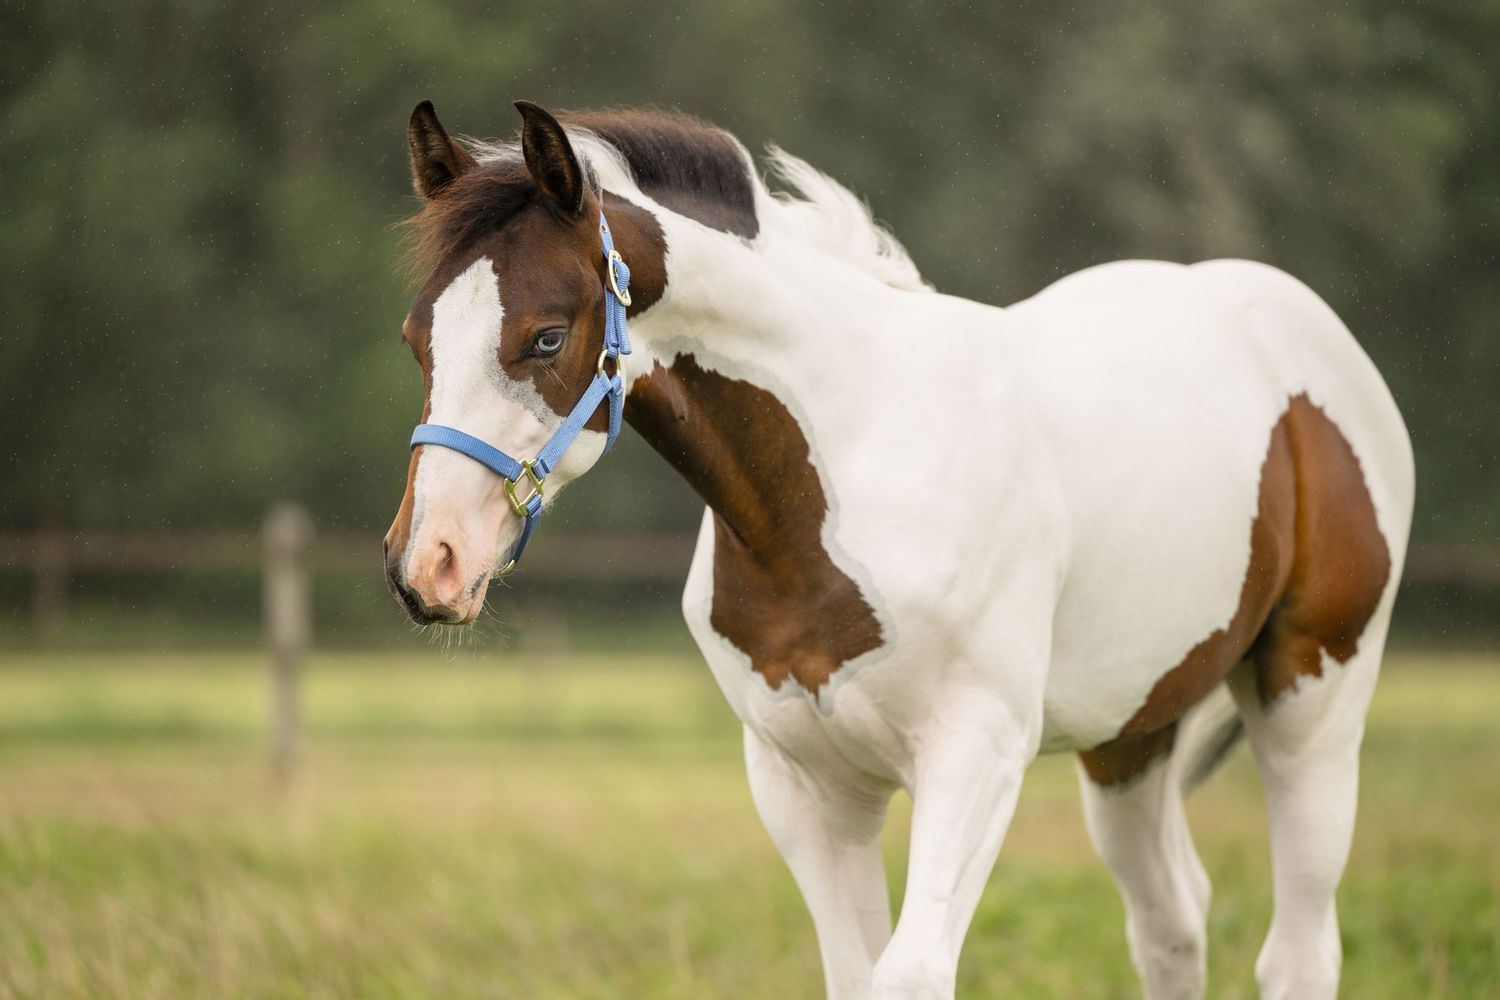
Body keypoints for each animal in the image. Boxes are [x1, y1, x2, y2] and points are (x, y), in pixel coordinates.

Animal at [382, 99, 1413, 1000]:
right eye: (416, 339)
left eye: (546, 336)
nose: (427, 566)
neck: (844, 476)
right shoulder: (808, 788)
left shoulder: (977, 756)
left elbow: (910, 974)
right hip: (1133, 735)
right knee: (1171, 923)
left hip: (1311, 699)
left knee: (1298, 951)